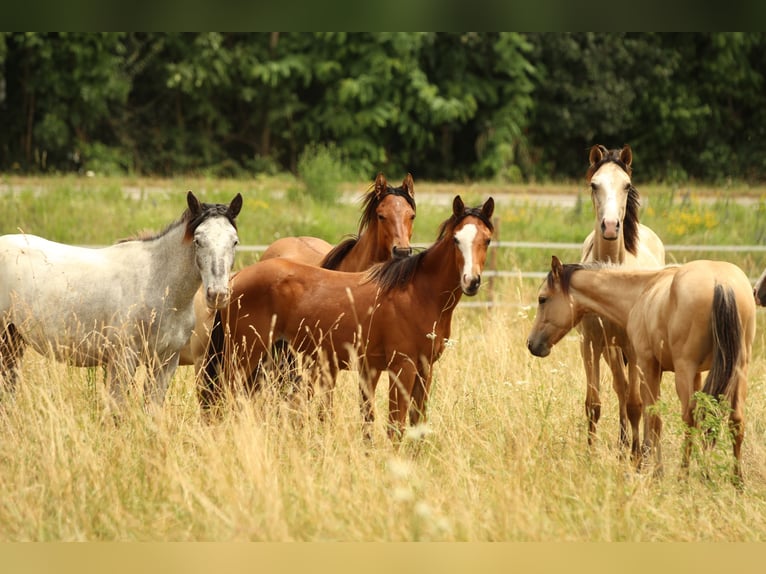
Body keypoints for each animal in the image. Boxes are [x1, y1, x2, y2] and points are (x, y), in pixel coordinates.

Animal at [0, 191, 242, 408]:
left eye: (235, 242)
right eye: (198, 241)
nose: (217, 295)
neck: (158, 286)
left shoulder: (166, 361)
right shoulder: (123, 359)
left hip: (14, 340)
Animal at [201, 195, 494, 438]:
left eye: (487, 239)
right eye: (456, 240)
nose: (471, 281)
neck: (418, 292)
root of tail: (235, 279)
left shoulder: (424, 368)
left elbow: (416, 422)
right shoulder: (402, 367)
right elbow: (396, 426)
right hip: (242, 357)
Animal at [527, 256, 755, 481]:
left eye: (542, 299)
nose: (532, 344)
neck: (642, 291)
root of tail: (721, 283)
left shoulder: (646, 365)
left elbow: (653, 417)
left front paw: (655, 471)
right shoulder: (688, 373)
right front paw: (700, 470)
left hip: (685, 371)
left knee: (689, 419)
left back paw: (683, 477)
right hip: (739, 370)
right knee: (736, 420)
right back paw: (737, 481)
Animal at [579, 144, 665, 457]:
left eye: (626, 185)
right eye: (594, 185)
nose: (610, 226)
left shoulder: (633, 347)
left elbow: (636, 403)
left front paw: (636, 456)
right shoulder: (590, 343)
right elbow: (594, 404)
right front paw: (589, 455)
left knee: (639, 394)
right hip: (611, 349)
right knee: (620, 386)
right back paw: (623, 442)